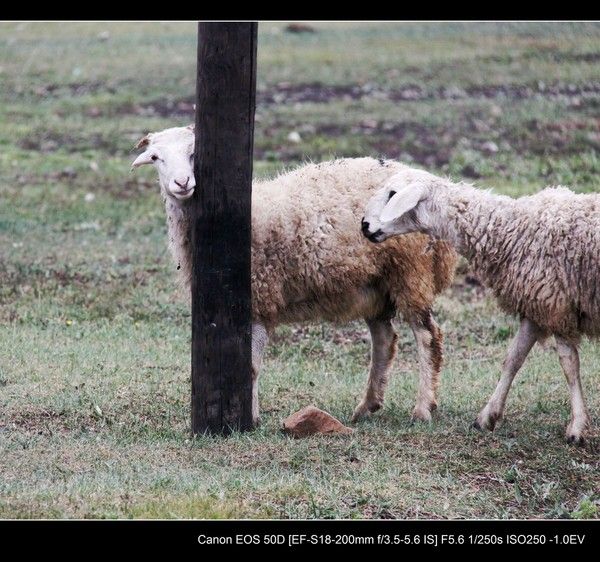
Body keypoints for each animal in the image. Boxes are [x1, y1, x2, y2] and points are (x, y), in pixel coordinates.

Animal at [132, 126, 454, 424]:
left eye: (193, 153)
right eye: (156, 157)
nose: (182, 183)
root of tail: (433, 185)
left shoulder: (260, 298)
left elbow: (250, 366)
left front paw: (250, 419)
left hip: (411, 272)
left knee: (428, 336)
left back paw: (422, 408)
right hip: (375, 283)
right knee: (385, 339)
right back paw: (367, 406)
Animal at [360, 166, 600, 442]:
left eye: (393, 193)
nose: (364, 225)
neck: (513, 229)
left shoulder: (556, 305)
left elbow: (569, 365)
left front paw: (577, 427)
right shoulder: (535, 305)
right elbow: (513, 359)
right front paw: (487, 416)